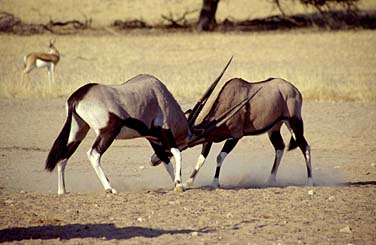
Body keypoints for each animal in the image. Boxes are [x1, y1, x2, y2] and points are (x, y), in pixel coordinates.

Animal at [44, 58, 250, 193]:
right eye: (186, 144)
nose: (152, 162)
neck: (163, 97)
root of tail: (78, 96)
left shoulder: (153, 137)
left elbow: (166, 160)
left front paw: (176, 183)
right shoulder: (164, 131)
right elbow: (175, 153)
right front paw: (179, 184)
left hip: (78, 131)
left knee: (63, 156)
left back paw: (62, 191)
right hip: (107, 132)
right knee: (93, 154)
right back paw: (110, 188)